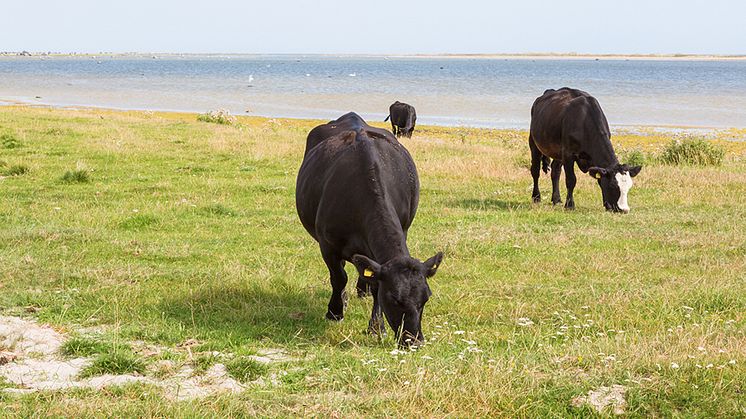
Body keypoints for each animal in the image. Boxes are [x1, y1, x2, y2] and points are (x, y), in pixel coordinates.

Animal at [294, 112, 438, 348]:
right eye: (394, 299)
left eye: (426, 298)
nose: (414, 340)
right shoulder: (328, 245)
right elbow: (339, 277)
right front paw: (335, 312)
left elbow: (375, 283)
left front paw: (376, 326)